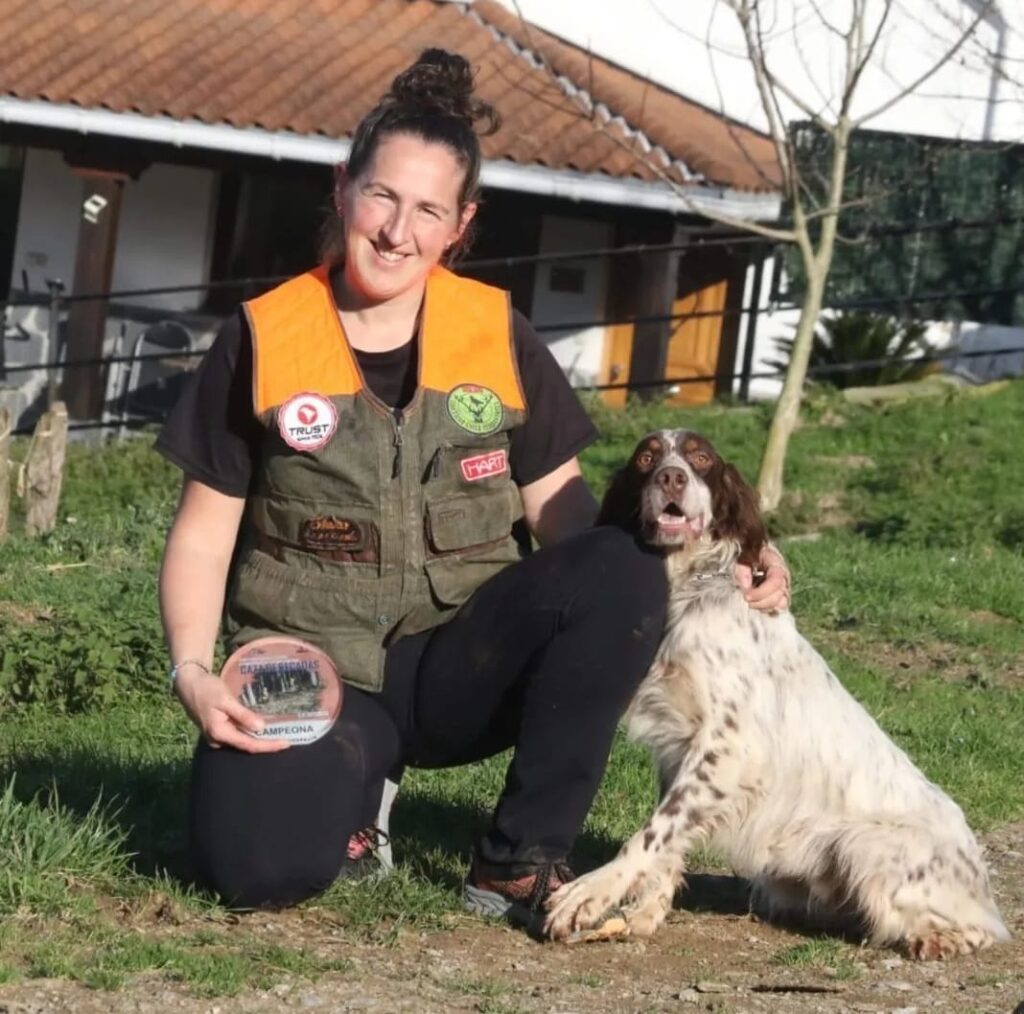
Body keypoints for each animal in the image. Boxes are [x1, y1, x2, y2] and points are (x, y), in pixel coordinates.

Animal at [544, 428, 1007, 958]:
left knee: (983, 928)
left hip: (867, 848)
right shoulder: (679, 747)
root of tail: (979, 874)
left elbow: (655, 830)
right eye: (646, 458)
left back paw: (939, 938)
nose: (671, 477)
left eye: (700, 458)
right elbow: (669, 831)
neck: (690, 586)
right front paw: (646, 911)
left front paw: (589, 894)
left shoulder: (729, 748)